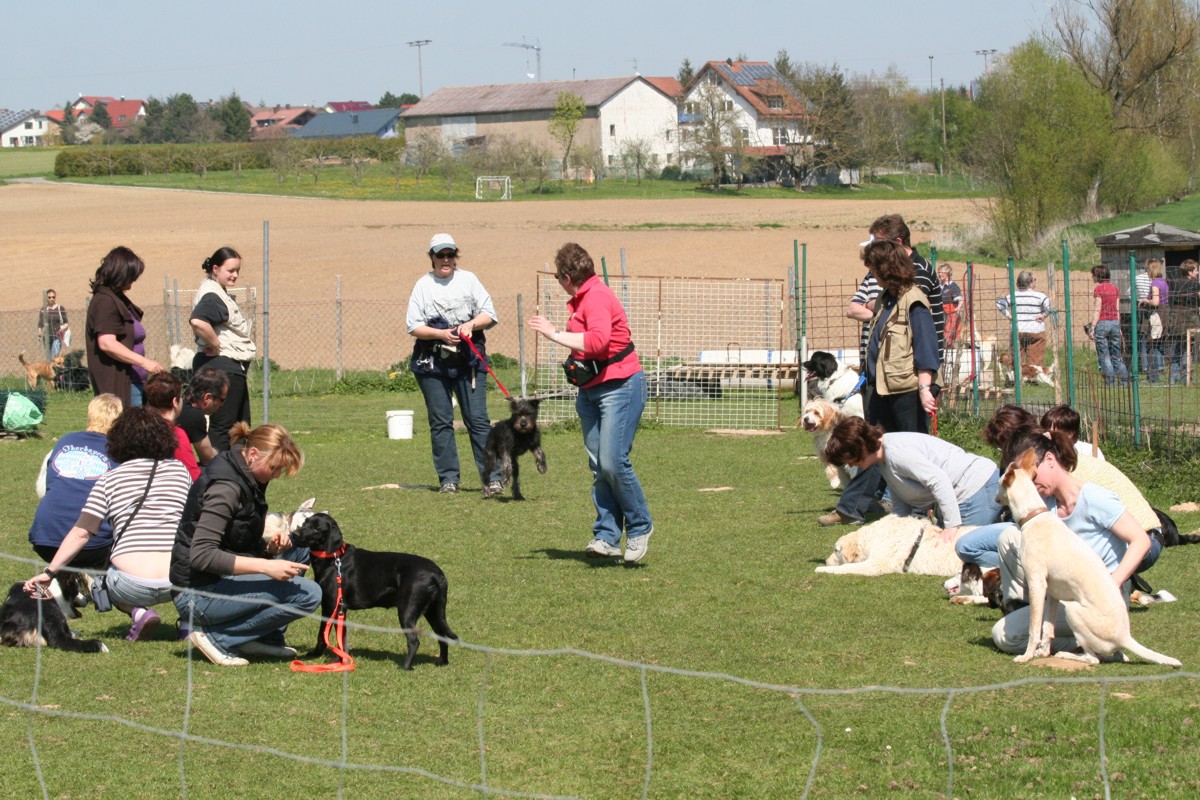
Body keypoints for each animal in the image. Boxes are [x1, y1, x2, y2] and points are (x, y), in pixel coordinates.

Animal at [290, 513, 458, 671]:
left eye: (317, 529)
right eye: (305, 522)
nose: (294, 534)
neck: (333, 558)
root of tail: (437, 573)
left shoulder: (333, 607)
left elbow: (327, 636)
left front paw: (329, 658)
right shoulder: (337, 608)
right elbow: (334, 637)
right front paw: (334, 658)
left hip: (407, 611)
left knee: (414, 640)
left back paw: (405, 667)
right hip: (433, 612)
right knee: (442, 637)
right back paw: (442, 662)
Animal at [998, 450, 1176, 671]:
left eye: (999, 482)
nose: (995, 500)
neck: (1034, 516)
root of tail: (1125, 637)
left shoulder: (1037, 585)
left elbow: (1034, 628)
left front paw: (1027, 655)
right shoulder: (1053, 593)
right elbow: (1047, 628)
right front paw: (1043, 651)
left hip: (1073, 611)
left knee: (1094, 659)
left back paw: (1067, 654)